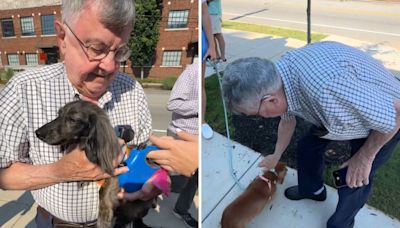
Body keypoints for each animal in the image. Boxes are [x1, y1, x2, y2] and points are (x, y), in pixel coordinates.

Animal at [35, 100, 155, 228]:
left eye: (72, 119)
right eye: (59, 114)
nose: (38, 133)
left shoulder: (116, 170)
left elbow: (103, 191)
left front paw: (104, 216)